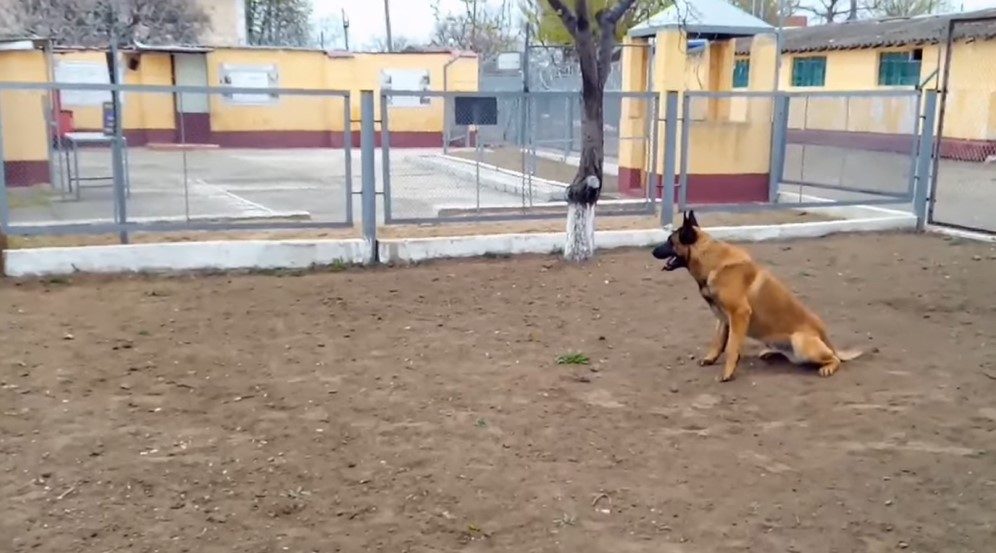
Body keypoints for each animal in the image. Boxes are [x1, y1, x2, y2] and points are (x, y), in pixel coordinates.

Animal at [652, 211, 863, 382]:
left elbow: (731, 347)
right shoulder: (723, 318)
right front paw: (710, 358)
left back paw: (828, 367)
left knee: (834, 359)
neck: (712, 260)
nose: (652, 251)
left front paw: (728, 373)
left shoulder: (739, 314)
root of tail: (828, 342)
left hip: (801, 342)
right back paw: (770, 352)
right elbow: (718, 342)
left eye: (670, 241)